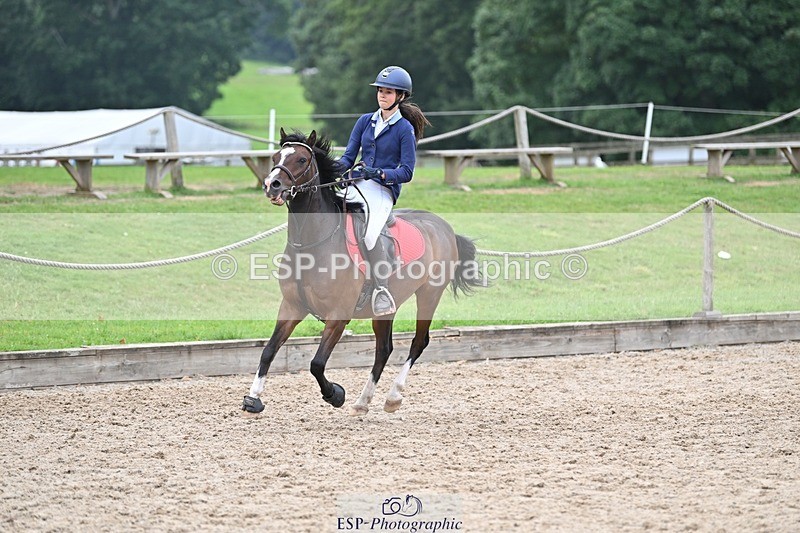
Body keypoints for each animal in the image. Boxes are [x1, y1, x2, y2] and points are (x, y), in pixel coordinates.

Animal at [242, 128, 483, 416]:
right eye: (276, 157)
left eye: (301, 159)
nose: (272, 185)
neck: (312, 242)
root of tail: (444, 227)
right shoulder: (291, 306)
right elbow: (269, 350)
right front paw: (253, 398)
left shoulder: (338, 316)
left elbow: (317, 363)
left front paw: (335, 394)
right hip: (387, 308)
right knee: (384, 349)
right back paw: (363, 401)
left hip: (430, 294)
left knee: (418, 342)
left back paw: (393, 397)